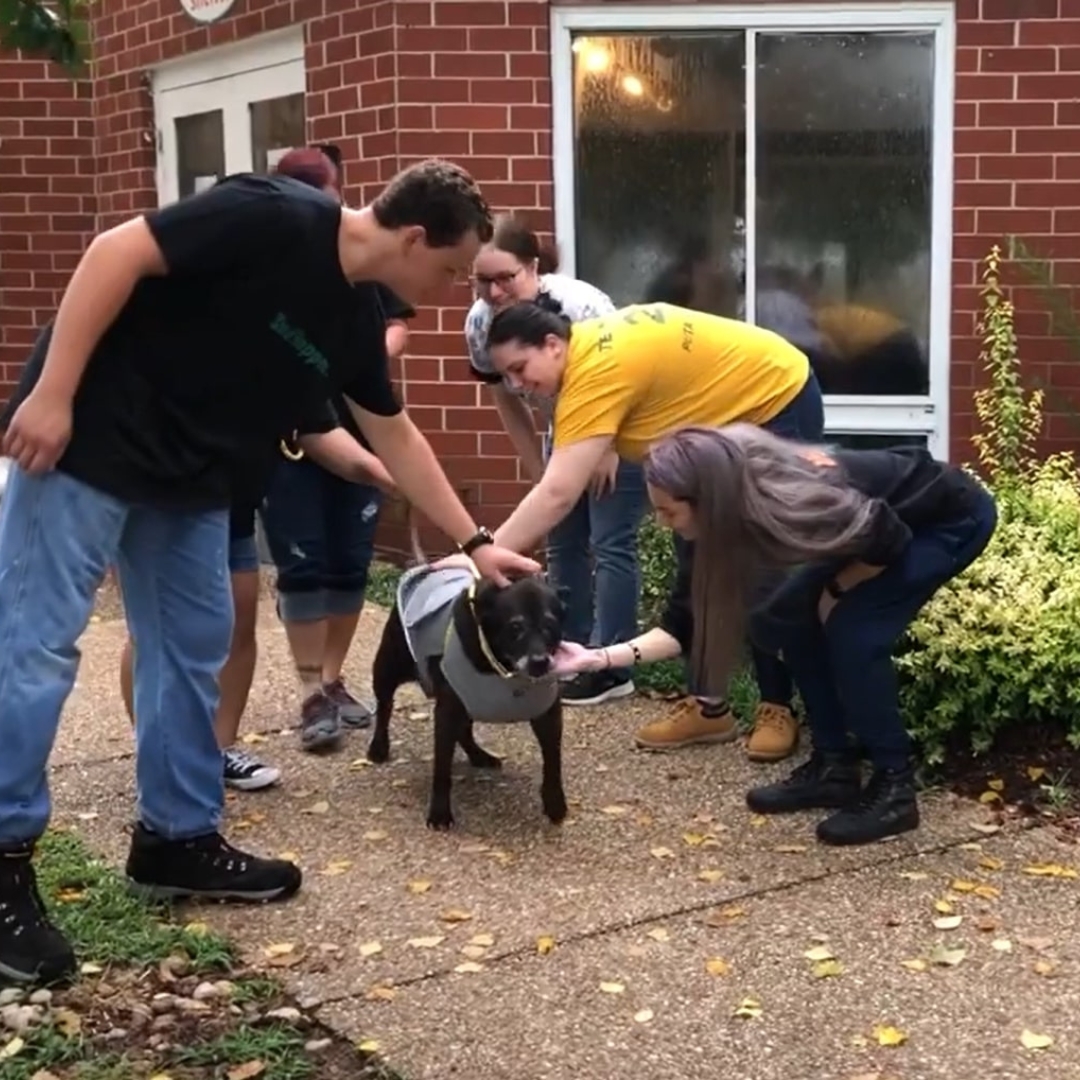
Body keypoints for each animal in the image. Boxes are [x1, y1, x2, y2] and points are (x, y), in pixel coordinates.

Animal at [369, 570, 570, 829]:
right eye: (515, 626)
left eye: (550, 625)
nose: (540, 662)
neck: (504, 669)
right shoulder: (447, 711)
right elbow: (442, 768)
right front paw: (439, 812)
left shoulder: (548, 714)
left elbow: (553, 760)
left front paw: (555, 802)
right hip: (387, 669)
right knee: (385, 706)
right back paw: (378, 747)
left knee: (464, 731)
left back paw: (479, 756)